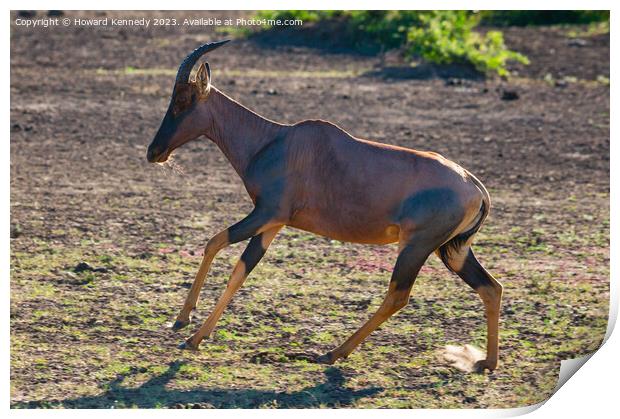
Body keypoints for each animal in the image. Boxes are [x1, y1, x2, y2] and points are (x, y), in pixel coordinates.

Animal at [147, 41, 504, 372]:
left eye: (183, 100)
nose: (154, 152)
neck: (276, 141)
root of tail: (475, 186)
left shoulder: (266, 214)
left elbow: (215, 243)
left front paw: (188, 330)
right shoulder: (273, 224)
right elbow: (240, 270)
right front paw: (190, 328)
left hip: (416, 247)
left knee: (398, 296)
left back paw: (334, 352)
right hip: (453, 250)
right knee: (491, 288)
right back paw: (486, 363)